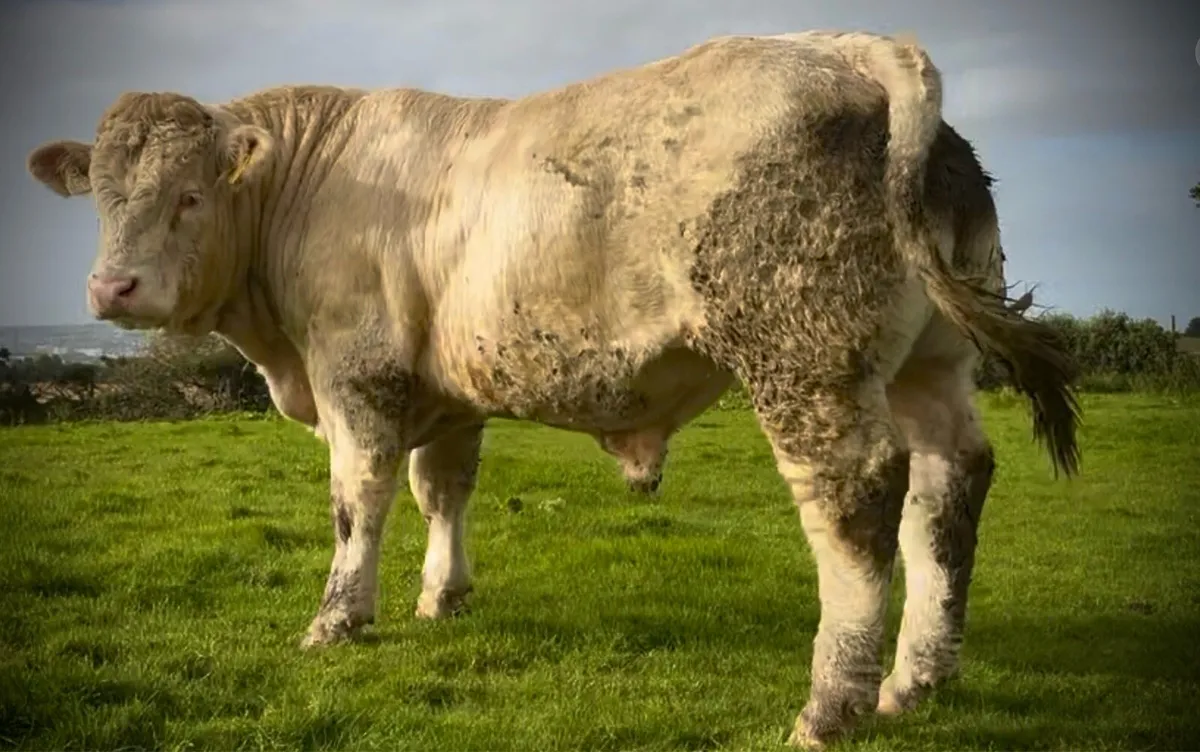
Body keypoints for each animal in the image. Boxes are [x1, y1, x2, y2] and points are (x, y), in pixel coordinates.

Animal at [25, 30, 1080, 748]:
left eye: (189, 196)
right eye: (104, 198)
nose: (110, 289)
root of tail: (859, 51)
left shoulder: (355, 373)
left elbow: (358, 500)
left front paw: (336, 620)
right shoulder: (445, 390)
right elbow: (441, 490)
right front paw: (441, 599)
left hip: (806, 362)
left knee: (857, 500)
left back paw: (833, 706)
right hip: (930, 366)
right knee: (949, 487)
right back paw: (918, 681)